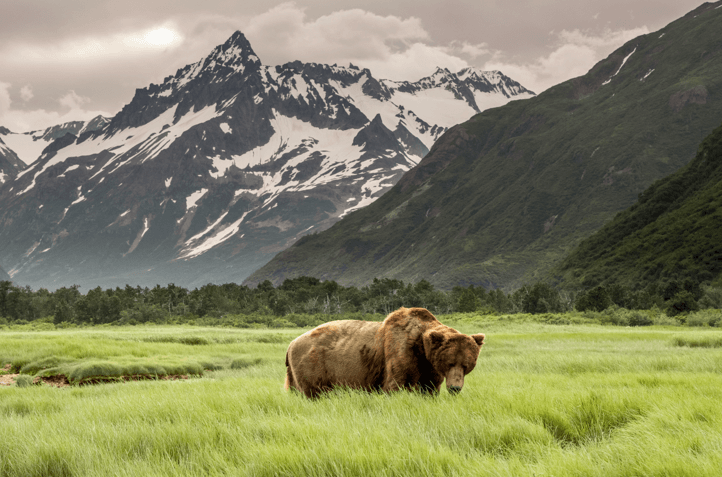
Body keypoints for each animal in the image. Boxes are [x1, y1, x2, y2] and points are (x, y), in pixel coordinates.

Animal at [282, 306, 484, 396]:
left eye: (466, 365)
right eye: (450, 362)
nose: (455, 388)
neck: (421, 349)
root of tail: (291, 343)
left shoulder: (429, 367)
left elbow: (429, 388)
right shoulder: (400, 353)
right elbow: (395, 385)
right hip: (313, 363)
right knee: (313, 391)